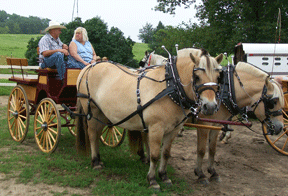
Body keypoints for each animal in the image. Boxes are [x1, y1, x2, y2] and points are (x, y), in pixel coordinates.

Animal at [76, 49, 223, 190]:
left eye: (218, 77)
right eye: (197, 77)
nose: (210, 107)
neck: (170, 87)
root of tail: (89, 67)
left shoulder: (174, 129)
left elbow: (166, 153)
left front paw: (164, 176)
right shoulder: (156, 128)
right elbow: (154, 155)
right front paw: (152, 180)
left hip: (103, 114)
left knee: (97, 134)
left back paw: (99, 159)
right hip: (93, 111)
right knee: (92, 135)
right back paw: (95, 162)